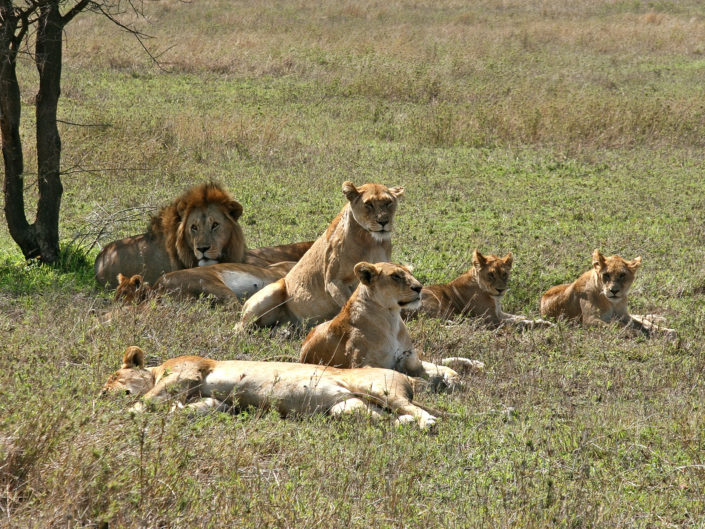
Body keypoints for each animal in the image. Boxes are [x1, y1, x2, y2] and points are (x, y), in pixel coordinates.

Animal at [239, 181, 404, 328]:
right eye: (368, 204)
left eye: (388, 203)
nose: (383, 221)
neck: (371, 241)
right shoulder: (333, 281)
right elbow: (349, 304)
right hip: (271, 292)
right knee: (241, 327)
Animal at [300, 262, 484, 389]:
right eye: (396, 276)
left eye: (410, 273)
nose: (419, 287)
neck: (391, 318)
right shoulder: (362, 366)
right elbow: (398, 374)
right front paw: (425, 383)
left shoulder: (412, 361)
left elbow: (438, 367)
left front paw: (453, 378)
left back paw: (475, 364)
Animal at [403, 249, 552, 329]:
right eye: (491, 275)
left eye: (504, 274)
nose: (500, 290)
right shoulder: (492, 319)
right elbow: (518, 322)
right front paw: (545, 323)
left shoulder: (499, 313)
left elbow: (517, 317)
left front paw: (528, 317)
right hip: (436, 302)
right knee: (434, 321)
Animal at [540, 249, 676, 338]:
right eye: (606, 275)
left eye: (622, 275)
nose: (614, 291)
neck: (612, 303)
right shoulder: (589, 320)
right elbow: (615, 326)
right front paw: (634, 333)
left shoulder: (624, 315)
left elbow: (643, 324)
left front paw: (668, 331)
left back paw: (658, 318)